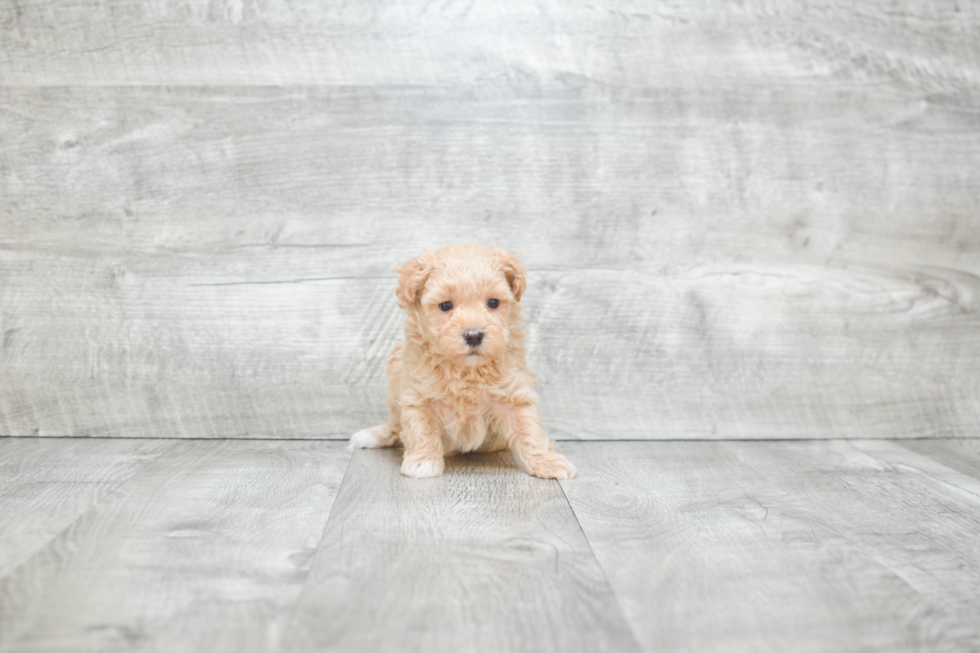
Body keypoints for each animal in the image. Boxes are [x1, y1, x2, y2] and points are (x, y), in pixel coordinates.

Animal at [352, 244, 580, 478]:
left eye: (493, 302)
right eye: (445, 305)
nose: (473, 335)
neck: (467, 370)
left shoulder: (514, 394)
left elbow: (530, 429)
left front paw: (548, 461)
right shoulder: (418, 395)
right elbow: (421, 429)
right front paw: (423, 462)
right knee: (395, 427)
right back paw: (373, 435)